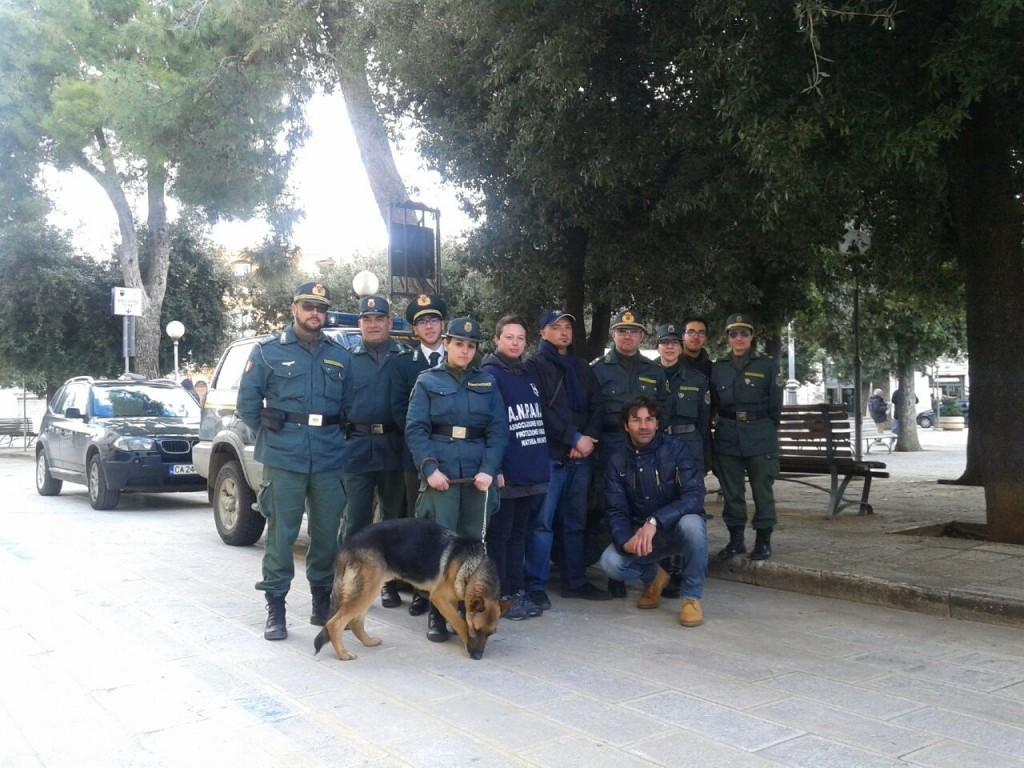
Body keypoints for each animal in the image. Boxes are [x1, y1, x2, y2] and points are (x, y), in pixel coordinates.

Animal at [313, 518, 501, 663]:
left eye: (490, 633)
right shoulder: (439, 597)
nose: (477, 656)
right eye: (476, 629)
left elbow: (458, 615)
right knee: (335, 623)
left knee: (355, 622)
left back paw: (368, 641)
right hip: (367, 591)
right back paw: (343, 654)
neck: (473, 567)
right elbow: (460, 622)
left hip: (369, 590)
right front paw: (464, 638)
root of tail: (347, 545)